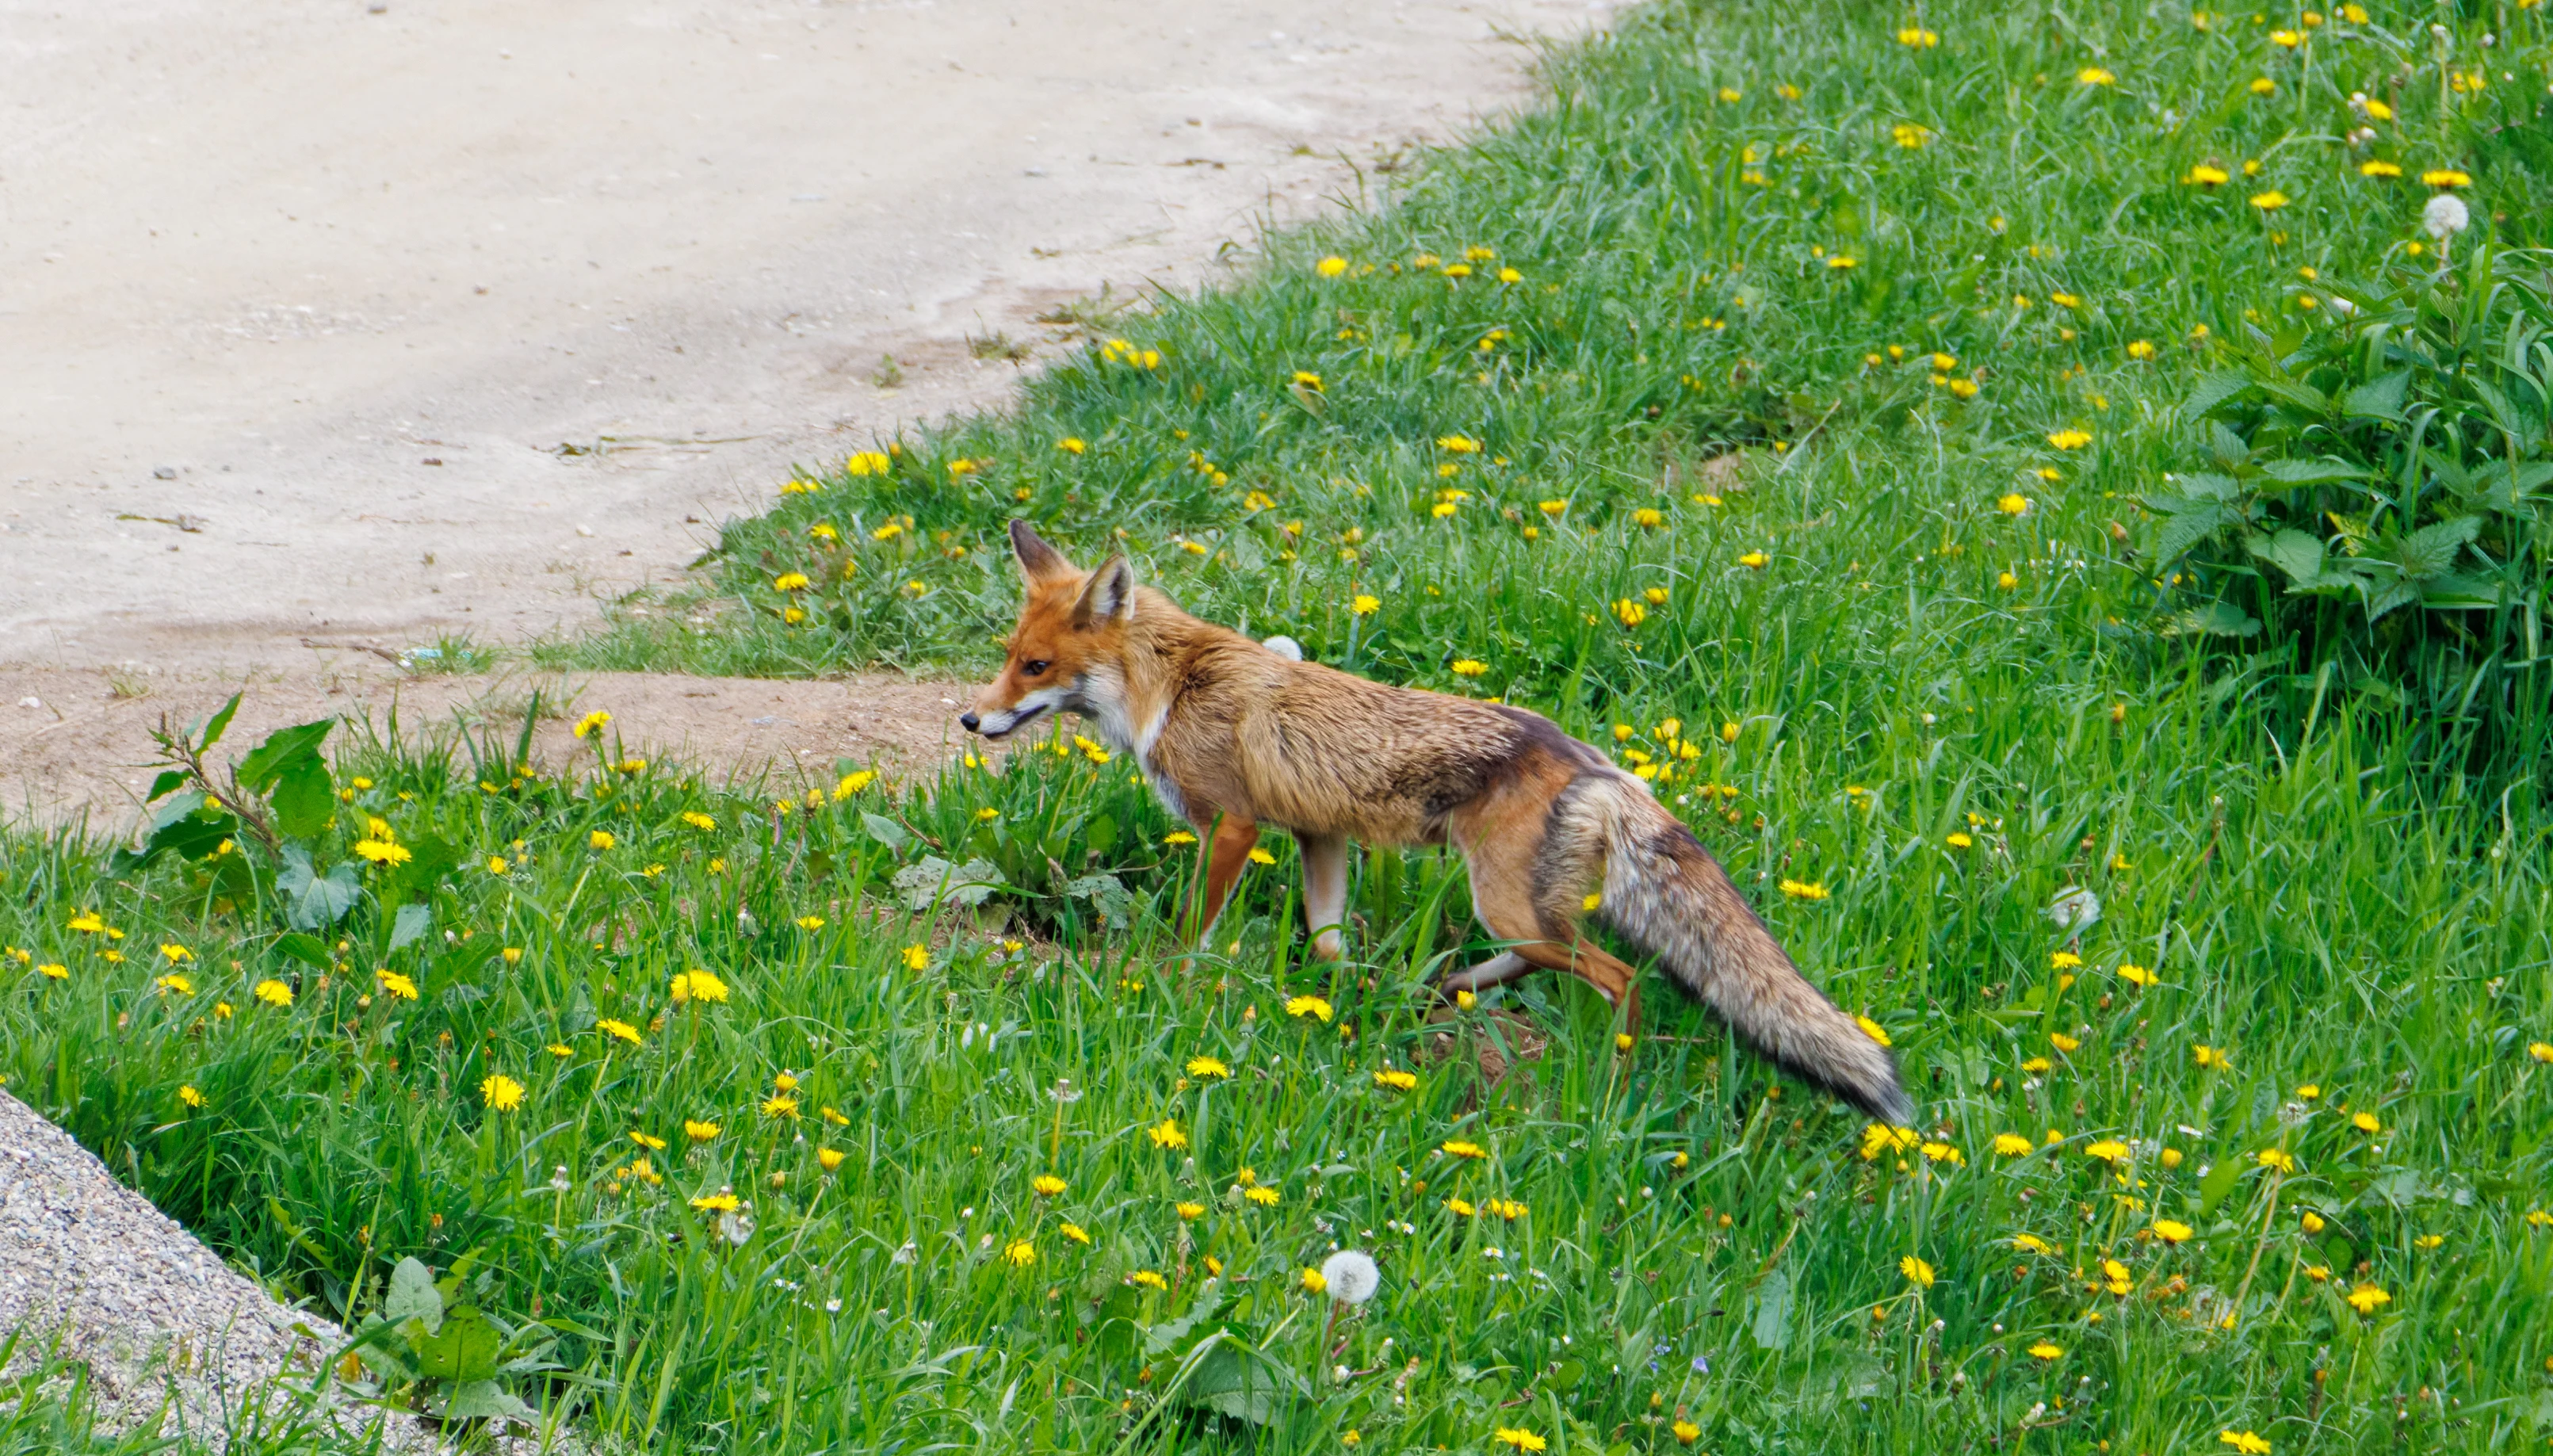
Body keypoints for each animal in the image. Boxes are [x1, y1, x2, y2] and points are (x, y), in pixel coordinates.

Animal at [960, 521, 1913, 1123]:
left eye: (1035, 667)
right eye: (1006, 659)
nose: (971, 719)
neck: (1172, 684)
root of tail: (1592, 760)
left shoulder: (1232, 826)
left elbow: (1193, 931)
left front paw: (1156, 989)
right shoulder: (1319, 835)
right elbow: (1328, 941)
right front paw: (1335, 1003)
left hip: (1509, 905)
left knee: (1621, 976)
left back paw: (1608, 1083)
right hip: (1516, 910)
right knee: (1532, 962)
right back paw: (1438, 988)